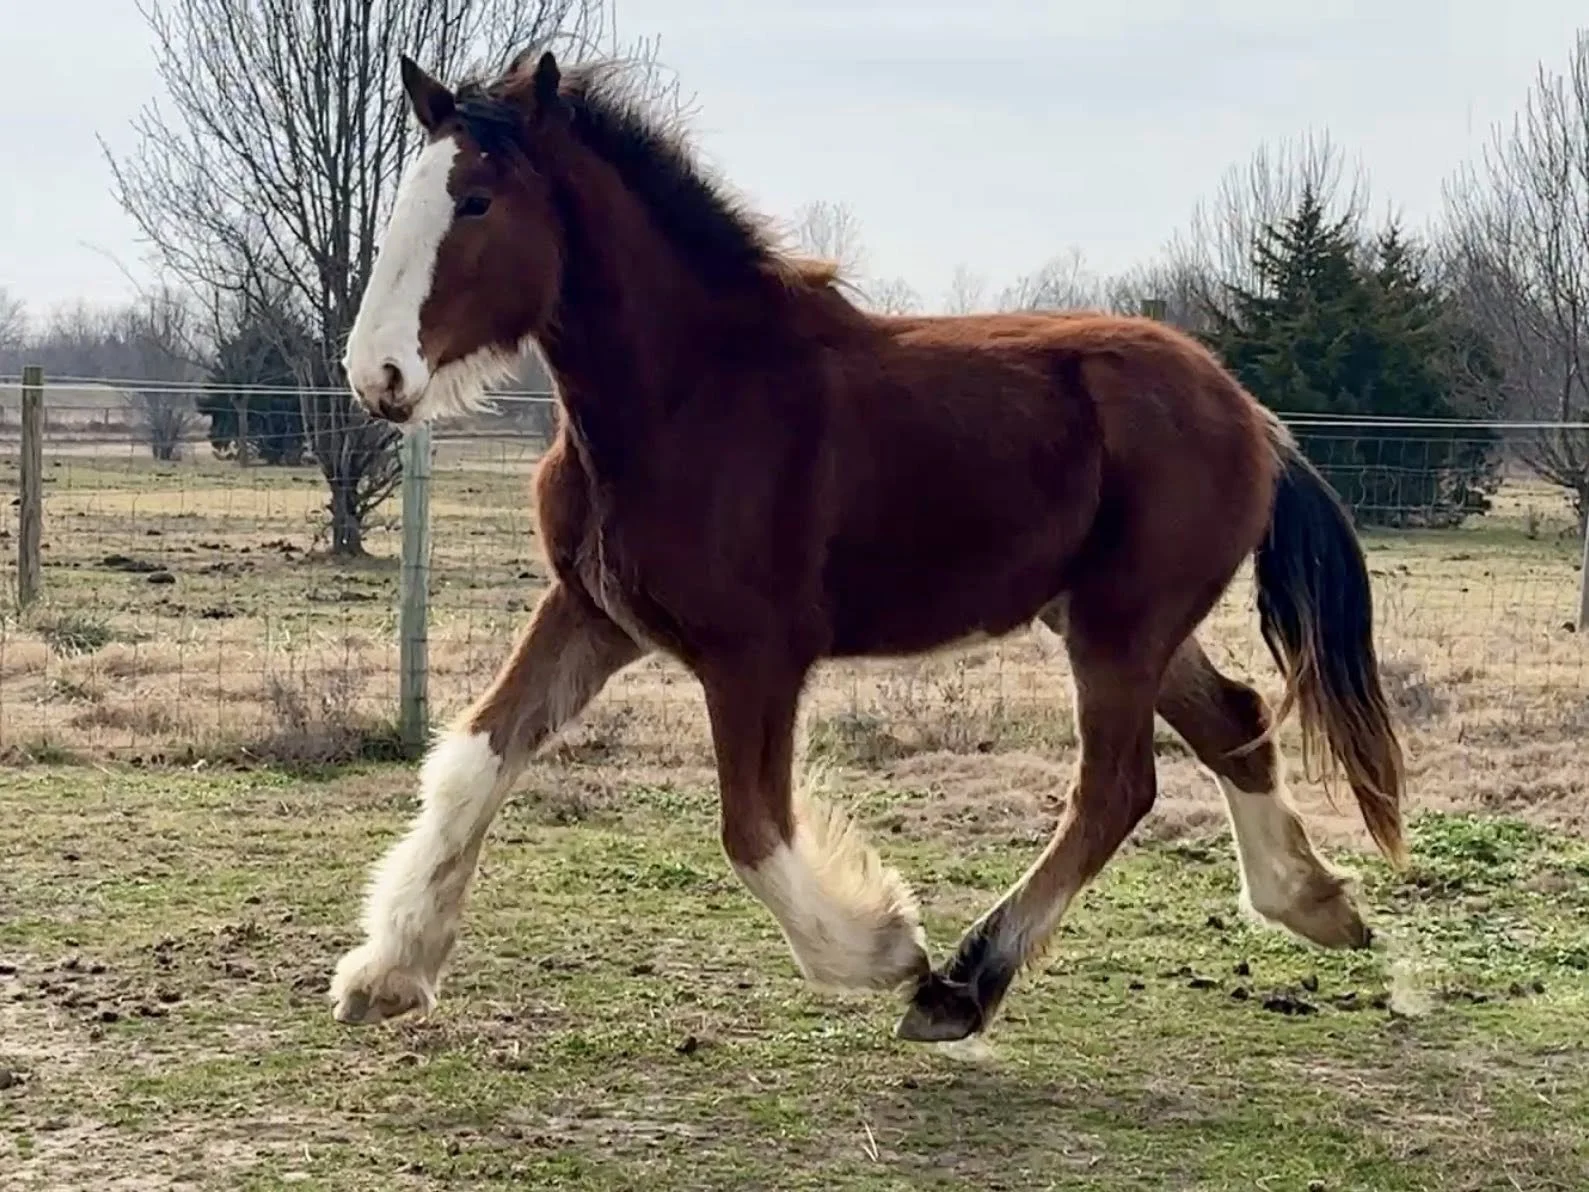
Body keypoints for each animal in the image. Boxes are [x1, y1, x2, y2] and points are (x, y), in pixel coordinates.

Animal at [329, 47, 1407, 1044]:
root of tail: (1255, 417)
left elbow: (752, 828)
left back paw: (959, 986)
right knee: (1233, 720)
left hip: (1120, 629)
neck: (688, 396)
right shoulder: (592, 614)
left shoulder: (754, 655)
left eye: (475, 201)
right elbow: (475, 760)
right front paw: (387, 970)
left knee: (1115, 788)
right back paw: (1314, 904)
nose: (375, 375)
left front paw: (883, 947)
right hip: (1119, 622)